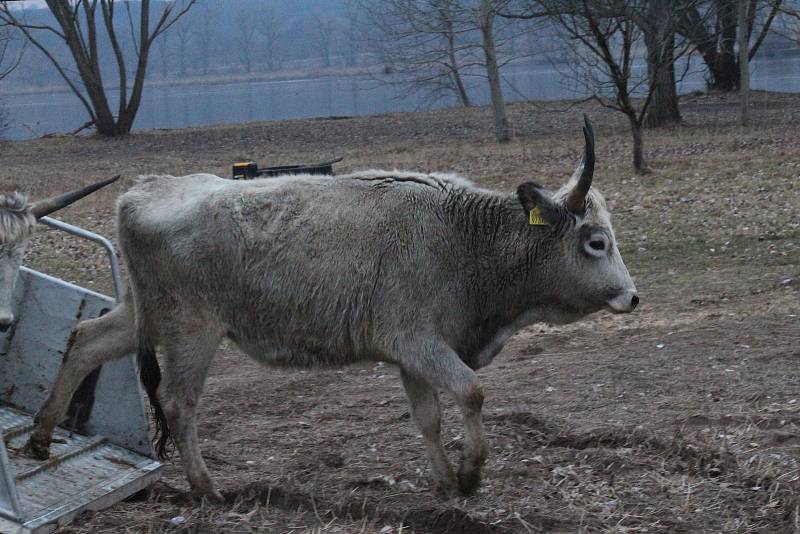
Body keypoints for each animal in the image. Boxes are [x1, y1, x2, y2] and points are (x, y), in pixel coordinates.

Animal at [26, 120, 636, 502]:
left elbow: (428, 417)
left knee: (84, 341)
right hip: (189, 332)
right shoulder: (421, 345)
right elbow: (470, 392)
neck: (460, 237)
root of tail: (143, 190)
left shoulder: (411, 357)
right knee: (179, 403)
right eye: (596, 242)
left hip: (142, 316)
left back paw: (40, 437)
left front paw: (443, 482)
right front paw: (469, 475)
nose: (632, 297)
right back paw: (206, 487)